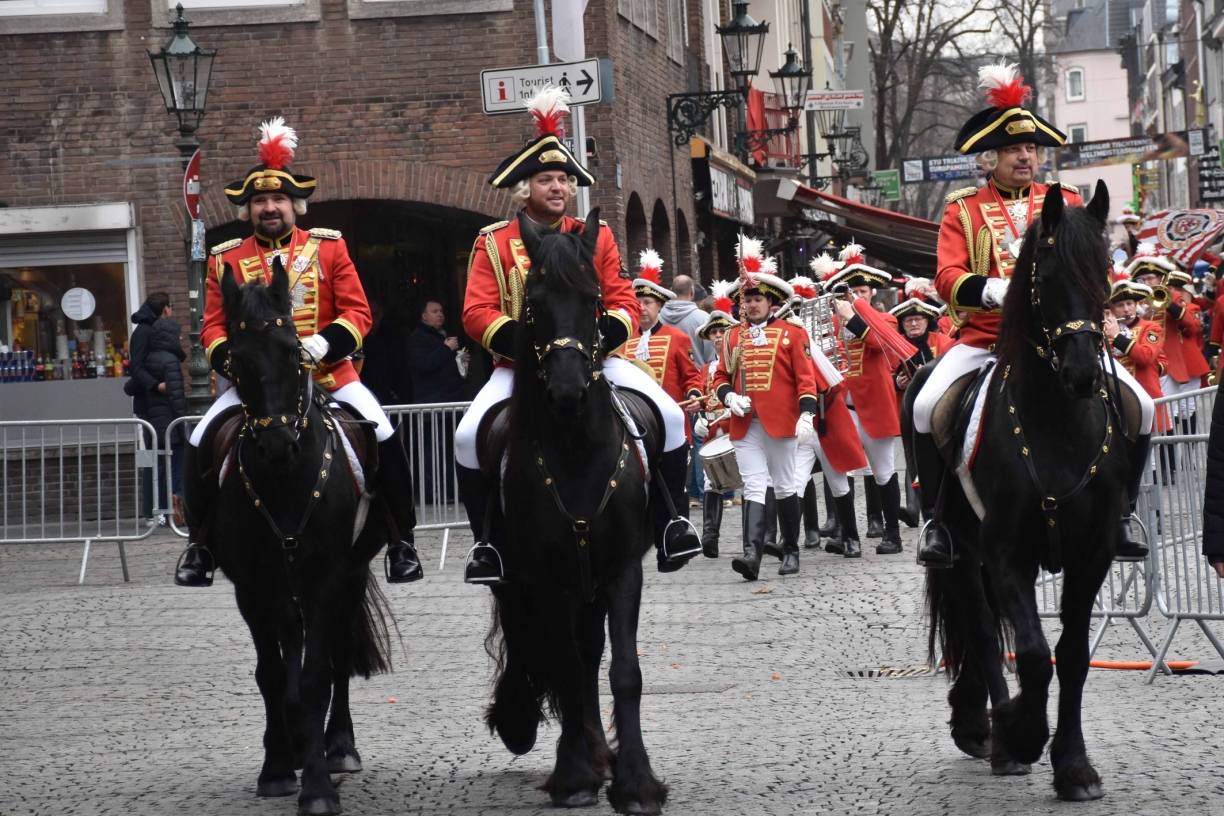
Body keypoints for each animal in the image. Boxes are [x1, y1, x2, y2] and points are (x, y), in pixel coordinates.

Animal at [183, 261, 391, 816]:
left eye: (292, 351)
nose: (278, 445)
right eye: (236, 358)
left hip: (350, 575)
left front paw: (318, 786)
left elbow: (318, 671)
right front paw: (277, 767)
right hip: (283, 586)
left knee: (336, 654)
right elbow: (272, 674)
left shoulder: (327, 576)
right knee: (289, 650)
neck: (285, 482)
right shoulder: (252, 586)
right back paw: (297, 742)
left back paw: (337, 745)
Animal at [479, 212, 670, 816]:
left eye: (593, 300)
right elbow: (562, 666)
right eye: (534, 303)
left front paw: (636, 782)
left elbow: (624, 671)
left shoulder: (621, 570)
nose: (566, 390)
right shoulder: (544, 576)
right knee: (554, 651)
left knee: (590, 658)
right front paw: (573, 775)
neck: (576, 451)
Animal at [905, 182, 1130, 802]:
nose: (1084, 373)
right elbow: (1029, 654)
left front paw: (1074, 767)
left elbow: (1071, 656)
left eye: (1104, 272)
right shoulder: (1007, 552)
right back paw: (994, 734)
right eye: (1047, 277)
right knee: (982, 630)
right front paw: (1021, 732)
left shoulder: (1092, 554)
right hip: (962, 547)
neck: (1057, 425)